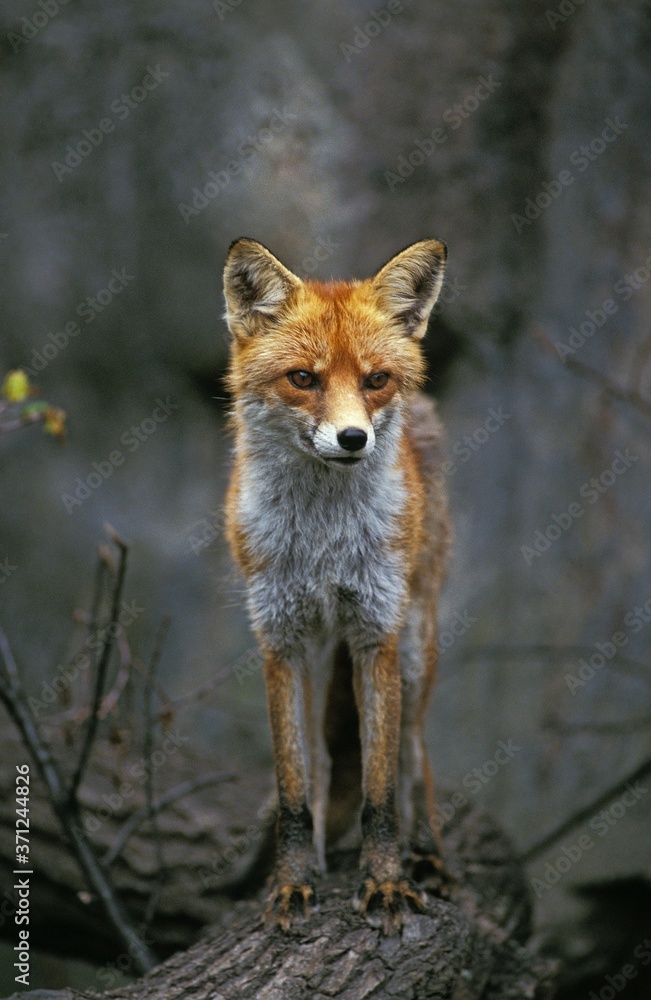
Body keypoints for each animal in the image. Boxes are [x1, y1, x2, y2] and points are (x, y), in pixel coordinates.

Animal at [223, 237, 452, 934]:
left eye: (376, 380)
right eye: (304, 378)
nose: (354, 439)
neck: (322, 540)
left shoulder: (375, 633)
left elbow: (380, 788)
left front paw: (385, 882)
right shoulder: (279, 637)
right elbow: (294, 788)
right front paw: (293, 883)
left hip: (413, 642)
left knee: (414, 751)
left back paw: (427, 855)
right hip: (326, 651)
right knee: (325, 760)